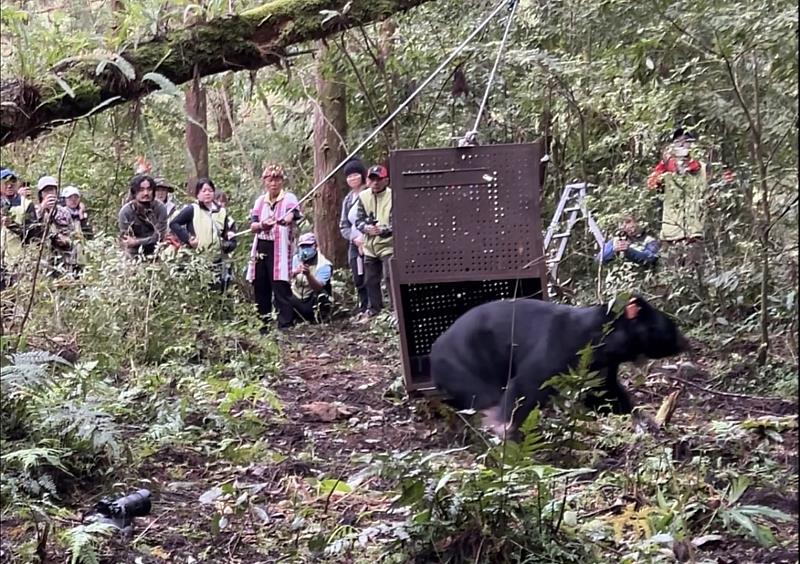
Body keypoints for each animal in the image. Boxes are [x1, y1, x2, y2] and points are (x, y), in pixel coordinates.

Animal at [432, 296, 688, 436]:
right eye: (669, 327)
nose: (686, 342)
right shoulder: (560, 348)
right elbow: (528, 383)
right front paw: (503, 428)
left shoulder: (599, 369)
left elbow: (606, 395)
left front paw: (647, 421)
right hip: (466, 366)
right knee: (485, 396)